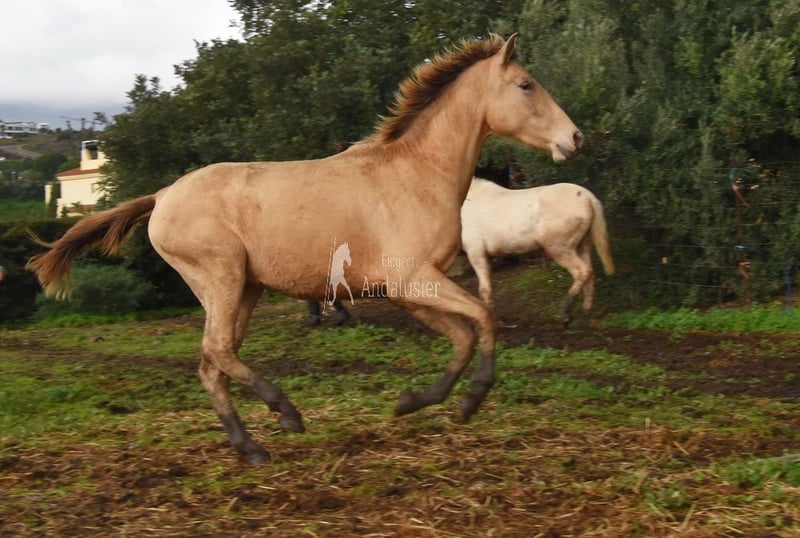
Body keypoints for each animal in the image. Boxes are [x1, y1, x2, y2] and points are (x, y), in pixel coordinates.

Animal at [26, 34, 582, 464]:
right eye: (526, 84)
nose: (575, 138)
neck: (417, 173)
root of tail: (162, 196)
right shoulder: (413, 280)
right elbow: (484, 320)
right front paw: (471, 401)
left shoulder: (409, 292)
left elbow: (464, 336)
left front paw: (414, 402)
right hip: (223, 279)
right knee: (218, 351)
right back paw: (287, 413)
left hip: (242, 291)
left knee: (213, 362)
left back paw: (250, 447)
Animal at [461, 178, 614, 326]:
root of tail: (589, 197)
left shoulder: (475, 251)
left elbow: (484, 289)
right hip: (583, 245)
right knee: (590, 274)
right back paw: (584, 317)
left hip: (559, 247)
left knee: (582, 272)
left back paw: (565, 314)